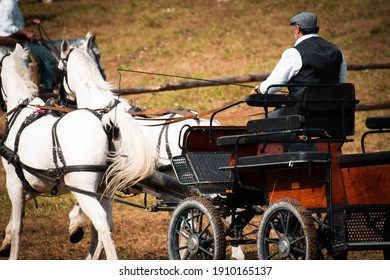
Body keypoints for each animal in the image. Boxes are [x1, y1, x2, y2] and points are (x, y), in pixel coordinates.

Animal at [0, 44, 158, 260]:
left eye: (59, 71)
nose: (59, 99)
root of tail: (104, 122)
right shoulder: (35, 183)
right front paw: (5, 243)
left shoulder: (15, 182)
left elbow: (18, 227)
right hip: (105, 187)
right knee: (105, 225)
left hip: (83, 186)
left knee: (101, 222)